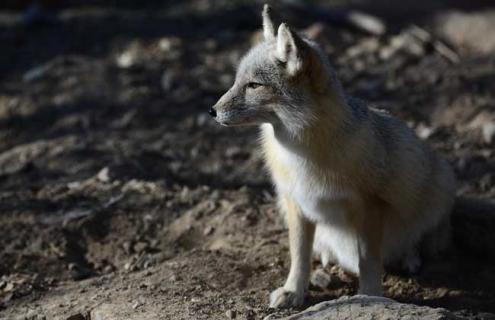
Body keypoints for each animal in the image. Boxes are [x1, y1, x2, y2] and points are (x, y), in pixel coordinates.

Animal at [207, 4, 456, 310]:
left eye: (254, 85)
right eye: (236, 81)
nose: (212, 111)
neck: (301, 155)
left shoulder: (370, 206)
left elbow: (369, 261)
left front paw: (370, 296)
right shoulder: (296, 204)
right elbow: (299, 255)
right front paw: (293, 291)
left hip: (439, 183)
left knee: (425, 235)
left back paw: (411, 255)